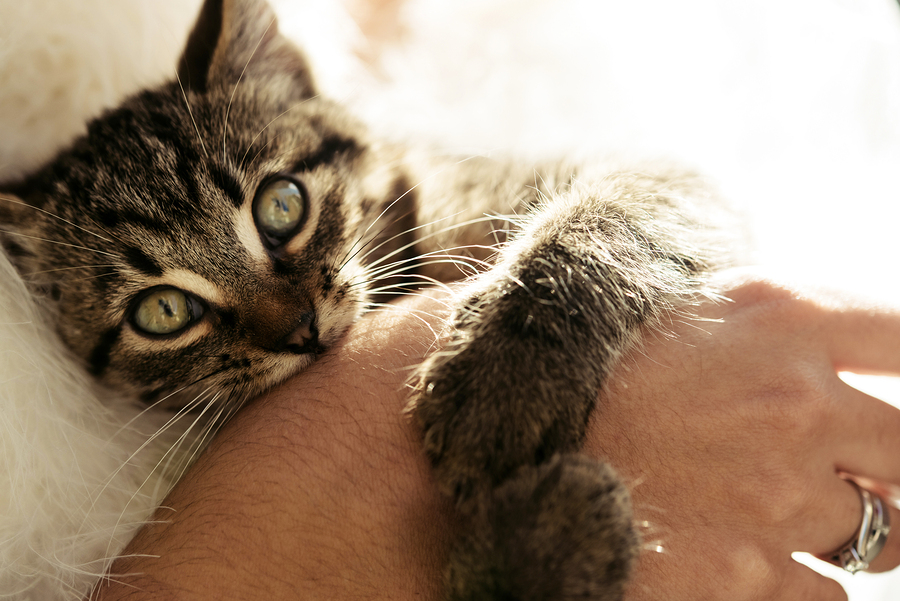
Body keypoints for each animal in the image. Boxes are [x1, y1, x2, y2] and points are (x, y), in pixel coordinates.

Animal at [0, 0, 740, 596]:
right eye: (162, 312)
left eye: (281, 205)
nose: (298, 328)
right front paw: (548, 541)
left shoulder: (668, 177)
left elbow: (599, 219)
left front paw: (506, 380)